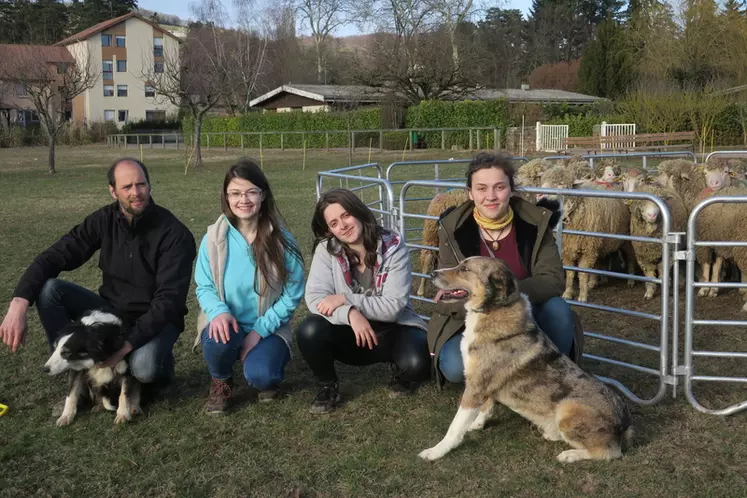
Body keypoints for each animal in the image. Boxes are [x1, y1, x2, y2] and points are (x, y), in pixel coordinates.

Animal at [418, 256, 636, 462]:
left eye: (464, 268)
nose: (432, 273)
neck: (491, 310)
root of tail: (625, 422)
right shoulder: (482, 384)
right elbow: (485, 408)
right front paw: (476, 425)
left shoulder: (475, 386)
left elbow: (455, 427)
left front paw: (436, 451)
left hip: (567, 410)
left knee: (608, 451)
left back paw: (570, 455)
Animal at [536, 165, 632, 302]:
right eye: (542, 181)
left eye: (561, 184)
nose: (539, 195)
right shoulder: (567, 249)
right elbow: (570, 272)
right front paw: (568, 293)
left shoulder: (588, 249)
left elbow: (582, 273)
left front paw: (582, 296)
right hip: (601, 241)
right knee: (600, 261)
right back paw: (595, 281)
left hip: (625, 239)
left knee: (630, 258)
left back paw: (630, 279)